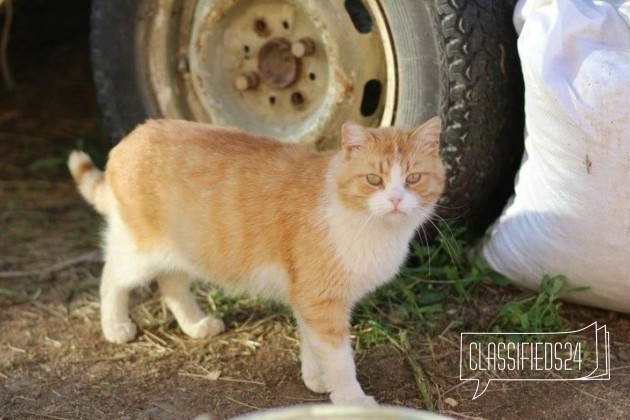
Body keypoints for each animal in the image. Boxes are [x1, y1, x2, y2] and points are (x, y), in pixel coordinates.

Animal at [68, 116, 444, 406]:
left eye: (413, 178)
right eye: (374, 180)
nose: (396, 200)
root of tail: (131, 137)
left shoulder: (307, 298)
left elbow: (311, 343)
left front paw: (315, 378)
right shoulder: (321, 300)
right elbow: (340, 360)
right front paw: (351, 398)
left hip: (183, 251)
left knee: (171, 283)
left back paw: (195, 324)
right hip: (139, 251)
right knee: (111, 276)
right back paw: (115, 326)